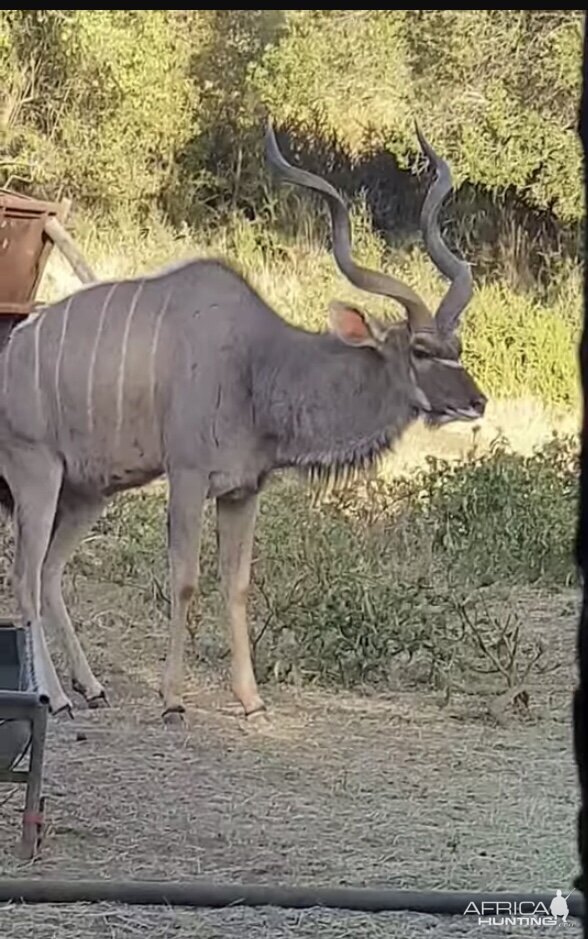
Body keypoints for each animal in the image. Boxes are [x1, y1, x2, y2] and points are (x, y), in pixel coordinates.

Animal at [0, 123, 484, 728]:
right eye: (419, 350)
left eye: (456, 347)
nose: (476, 402)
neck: (258, 363)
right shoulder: (187, 479)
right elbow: (185, 581)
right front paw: (173, 699)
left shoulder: (243, 491)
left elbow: (237, 585)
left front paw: (251, 700)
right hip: (37, 476)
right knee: (24, 579)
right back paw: (55, 696)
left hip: (89, 491)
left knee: (48, 574)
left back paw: (90, 688)